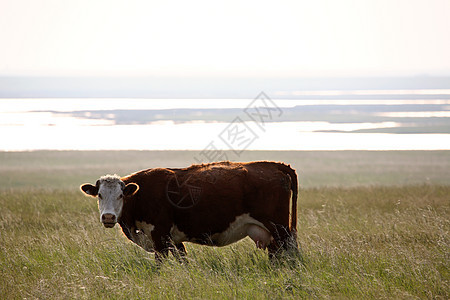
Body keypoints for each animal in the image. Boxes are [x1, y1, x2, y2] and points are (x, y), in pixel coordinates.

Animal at [81, 161, 298, 262]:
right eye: (99, 195)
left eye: (121, 196)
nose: (108, 217)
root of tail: (272, 165)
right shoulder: (174, 240)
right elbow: (183, 260)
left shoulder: (160, 236)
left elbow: (159, 264)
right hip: (270, 233)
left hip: (280, 228)